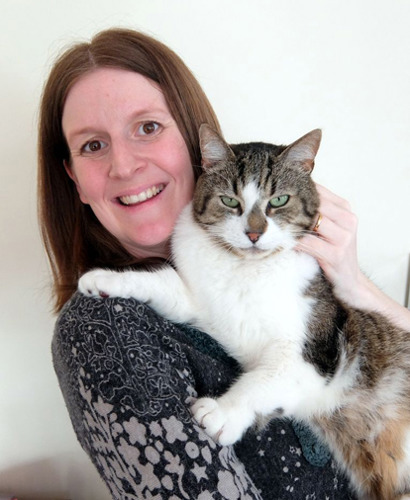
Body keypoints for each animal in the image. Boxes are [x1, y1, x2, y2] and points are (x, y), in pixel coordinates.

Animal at [78, 125, 410, 500]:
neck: (247, 270)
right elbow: (163, 284)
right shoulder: (203, 307)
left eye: (278, 201)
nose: (254, 232)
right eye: (230, 201)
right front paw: (104, 280)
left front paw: (222, 412)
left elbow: (265, 378)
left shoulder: (317, 353)